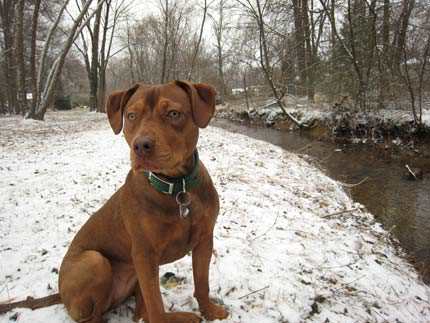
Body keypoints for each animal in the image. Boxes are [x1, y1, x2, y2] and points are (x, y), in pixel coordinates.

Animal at [59, 81, 232, 323]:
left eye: (173, 113)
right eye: (131, 115)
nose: (141, 145)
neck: (176, 187)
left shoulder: (204, 240)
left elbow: (202, 283)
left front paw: (210, 311)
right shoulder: (145, 254)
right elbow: (156, 305)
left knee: (140, 311)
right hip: (95, 261)